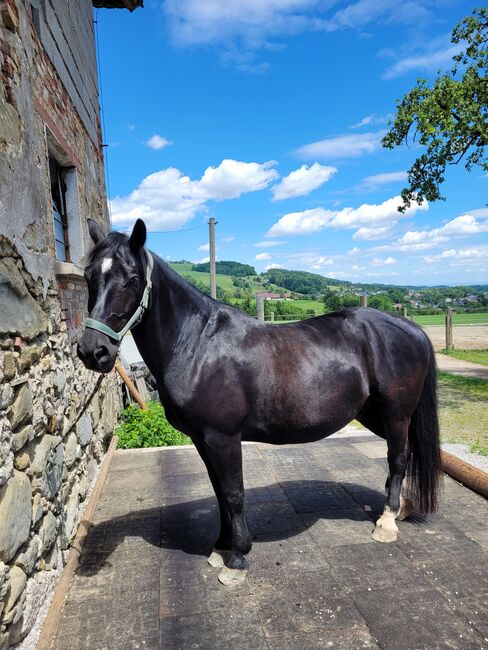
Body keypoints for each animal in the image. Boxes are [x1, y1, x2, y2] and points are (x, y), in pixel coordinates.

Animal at [77, 218, 442, 586]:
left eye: (132, 279)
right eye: (89, 276)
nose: (93, 351)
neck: (196, 344)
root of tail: (411, 328)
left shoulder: (223, 437)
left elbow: (233, 493)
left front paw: (237, 558)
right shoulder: (202, 439)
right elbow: (219, 492)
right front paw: (220, 547)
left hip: (395, 413)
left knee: (398, 457)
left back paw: (387, 522)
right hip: (375, 415)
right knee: (404, 453)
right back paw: (402, 508)